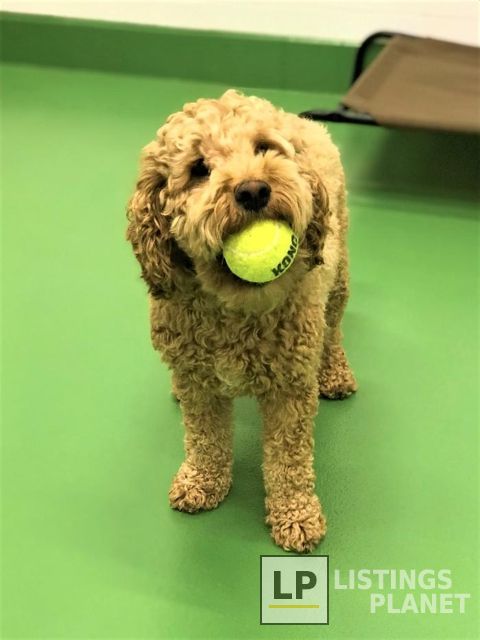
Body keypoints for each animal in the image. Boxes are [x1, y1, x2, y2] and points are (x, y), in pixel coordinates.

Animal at [127, 90, 357, 552]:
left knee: (334, 326)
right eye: (199, 169)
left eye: (264, 148)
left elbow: (288, 460)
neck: (236, 312)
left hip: (338, 274)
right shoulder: (199, 382)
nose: (253, 189)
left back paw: (335, 372)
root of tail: (304, 122)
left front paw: (296, 514)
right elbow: (205, 439)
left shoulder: (291, 390)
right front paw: (202, 481)